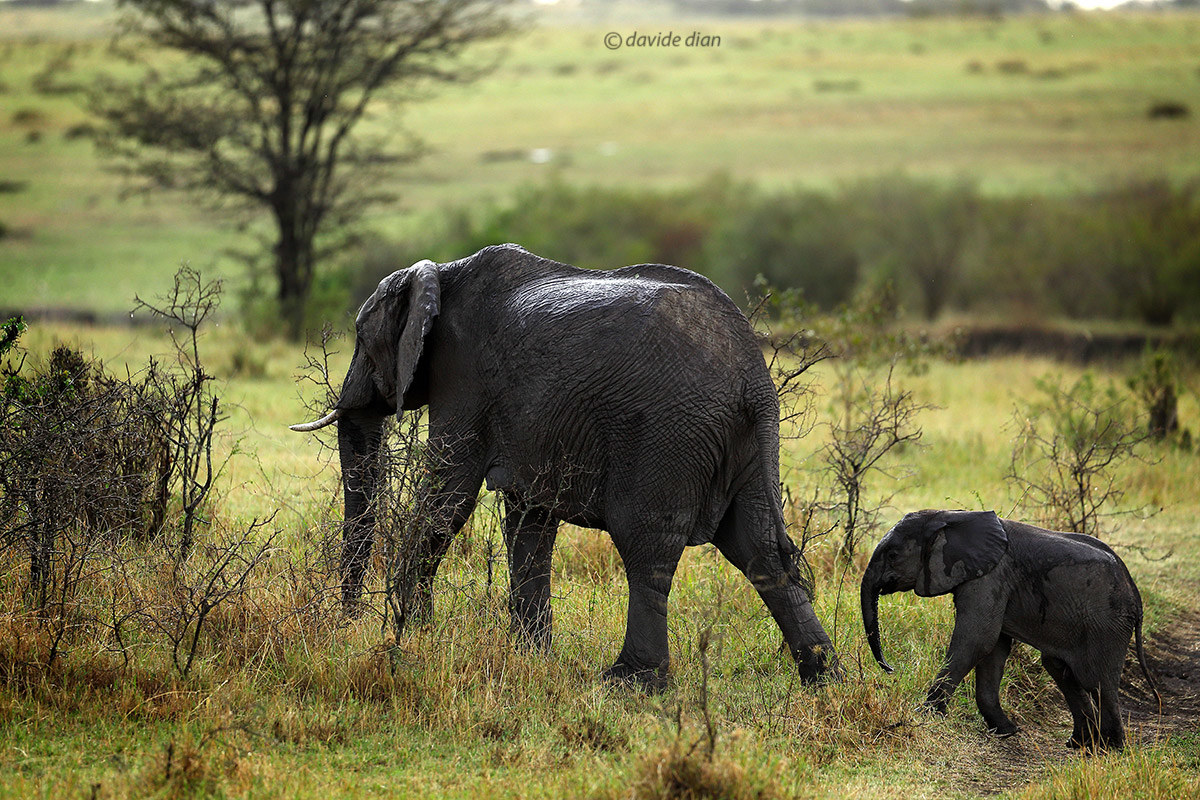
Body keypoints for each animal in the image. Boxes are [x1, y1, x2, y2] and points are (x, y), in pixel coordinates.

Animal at [291, 243, 841, 690]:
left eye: (362, 341)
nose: (348, 624)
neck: (442, 274)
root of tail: (753, 375)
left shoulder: (463, 379)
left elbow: (449, 497)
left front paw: (410, 638)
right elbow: (528, 519)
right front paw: (530, 658)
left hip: (669, 434)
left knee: (647, 545)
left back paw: (629, 684)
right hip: (744, 445)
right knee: (760, 549)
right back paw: (824, 678)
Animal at [861, 509, 1158, 751]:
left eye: (893, 556)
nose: (891, 670)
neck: (946, 516)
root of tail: (1135, 594)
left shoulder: (991, 576)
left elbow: (976, 639)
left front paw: (923, 715)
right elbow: (993, 648)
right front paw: (1008, 732)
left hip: (1107, 624)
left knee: (1097, 680)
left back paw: (1112, 748)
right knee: (1059, 668)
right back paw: (1079, 744)